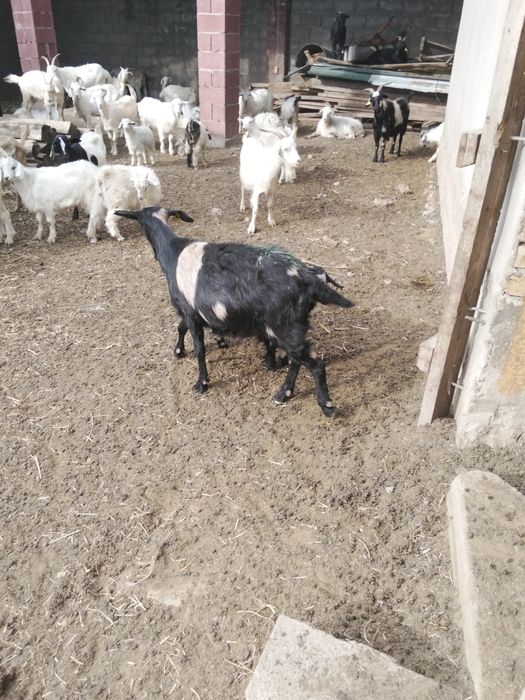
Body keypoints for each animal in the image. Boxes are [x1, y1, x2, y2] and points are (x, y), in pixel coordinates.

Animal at [114, 205, 354, 416]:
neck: (173, 252)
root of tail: (307, 277)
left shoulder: (188, 311)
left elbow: (198, 347)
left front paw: (201, 381)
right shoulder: (194, 311)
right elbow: (183, 328)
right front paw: (194, 347)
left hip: (284, 327)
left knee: (315, 364)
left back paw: (326, 406)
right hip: (289, 329)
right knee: (295, 360)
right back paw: (283, 394)